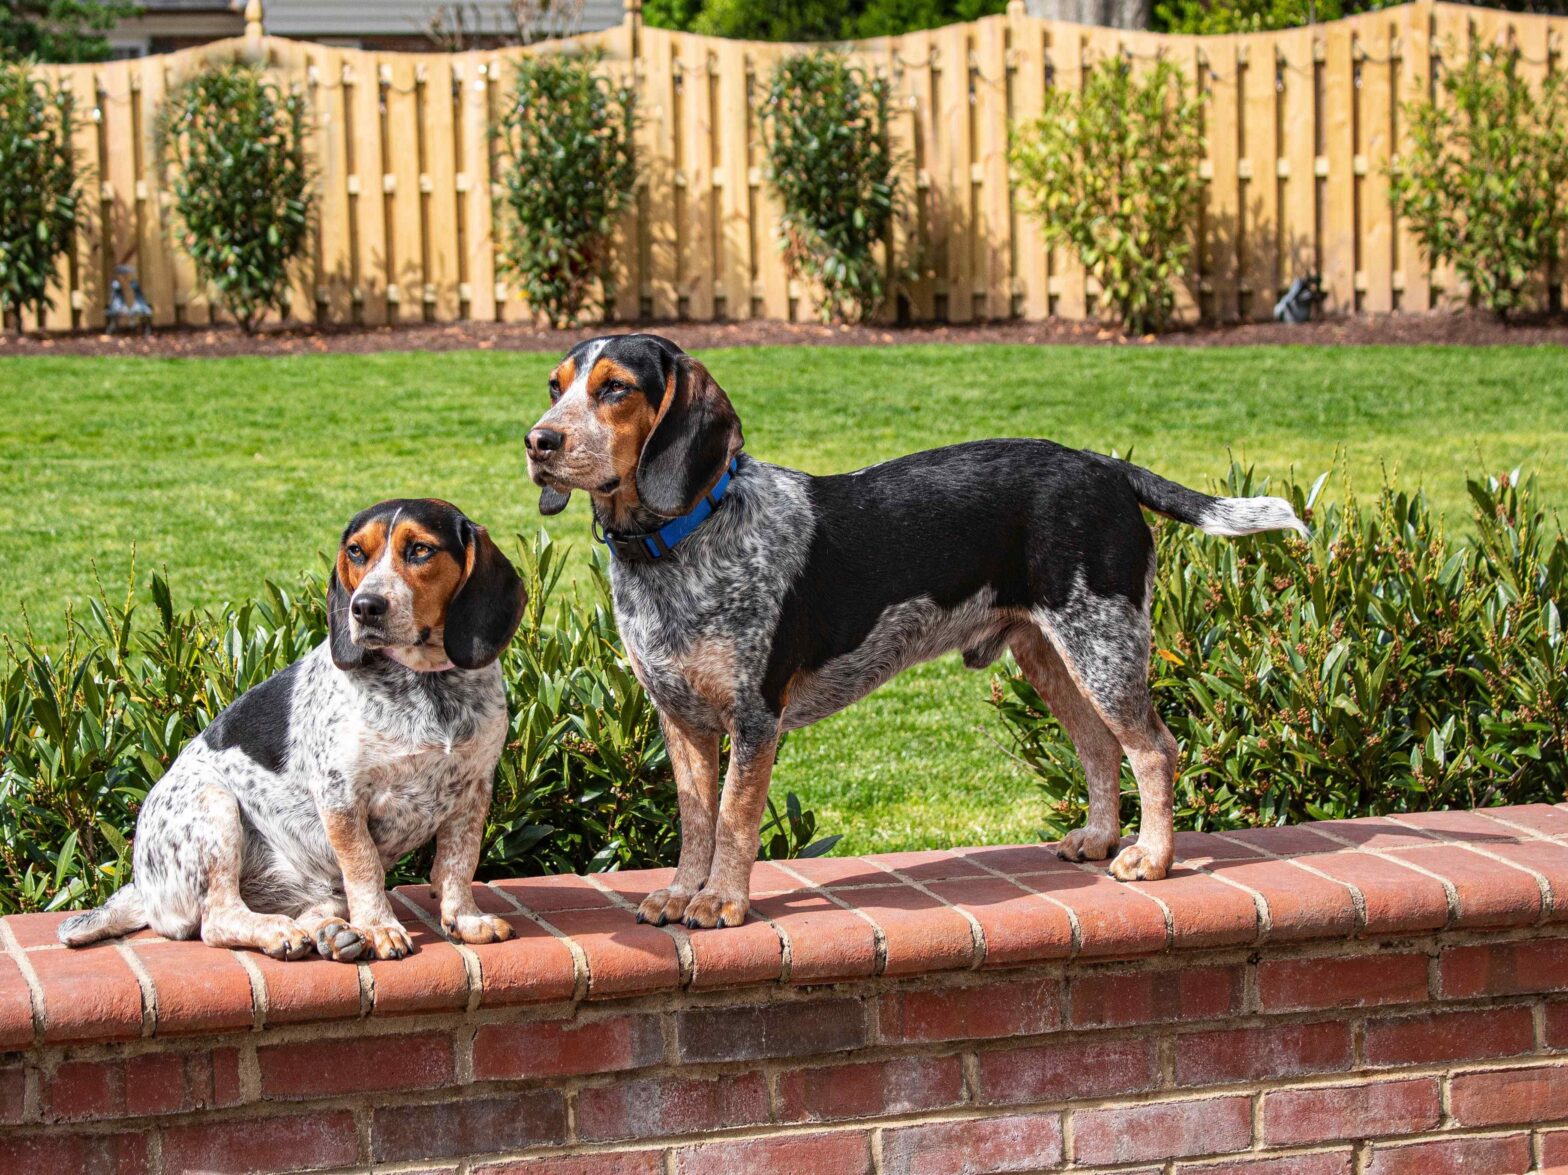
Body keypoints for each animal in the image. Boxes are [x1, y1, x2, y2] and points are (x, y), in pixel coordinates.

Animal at [59, 498, 526, 960]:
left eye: (421, 550)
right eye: (356, 552)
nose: (364, 607)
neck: (427, 685)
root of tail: (141, 887)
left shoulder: (473, 790)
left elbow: (458, 863)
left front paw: (465, 918)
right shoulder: (341, 796)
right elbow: (366, 868)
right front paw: (380, 927)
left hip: (314, 885)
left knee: (311, 910)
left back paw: (335, 935)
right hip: (213, 805)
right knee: (217, 921)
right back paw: (281, 932)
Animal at [526, 334, 1310, 928]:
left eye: (616, 388)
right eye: (555, 384)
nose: (538, 441)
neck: (680, 541)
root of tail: (1105, 466)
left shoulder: (754, 718)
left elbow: (735, 821)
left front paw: (721, 901)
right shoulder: (682, 719)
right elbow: (695, 822)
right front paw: (684, 890)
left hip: (1104, 649)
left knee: (1154, 749)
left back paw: (1151, 857)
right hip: (1053, 656)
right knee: (1097, 747)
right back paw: (1096, 837)